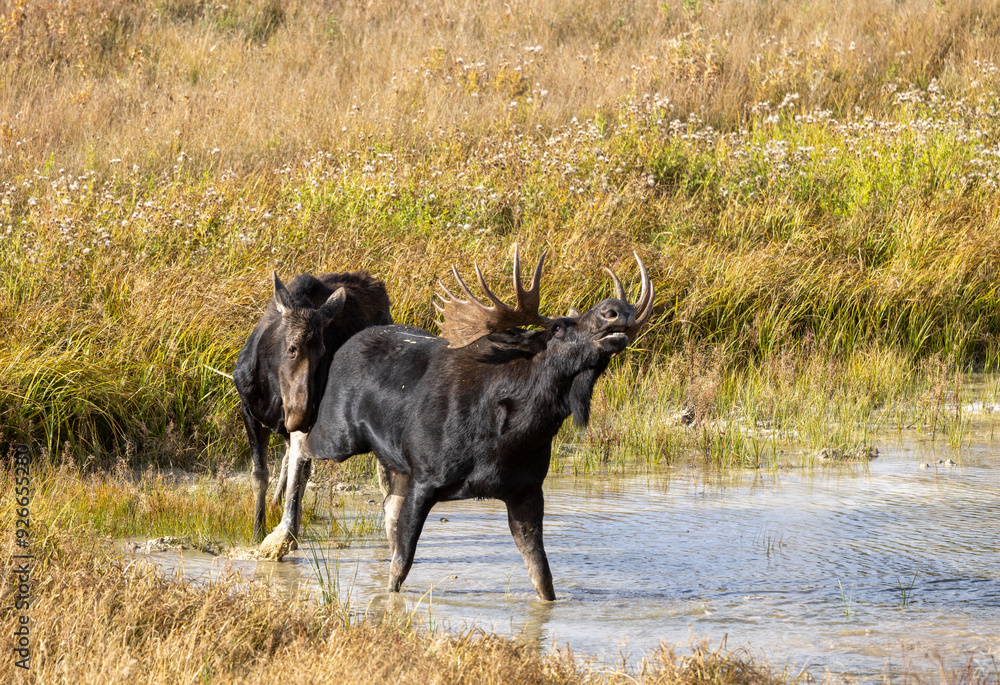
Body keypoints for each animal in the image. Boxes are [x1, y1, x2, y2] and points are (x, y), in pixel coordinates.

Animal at [232, 270, 392, 544]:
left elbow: (299, 475)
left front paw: (285, 533)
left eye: (322, 353)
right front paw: (257, 532)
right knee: (287, 460)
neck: (273, 391)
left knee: (384, 475)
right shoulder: (249, 411)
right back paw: (275, 504)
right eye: (292, 348)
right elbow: (259, 476)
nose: (301, 414)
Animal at [258, 247, 652, 600]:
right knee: (298, 438)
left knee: (387, 503)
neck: (514, 435)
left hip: (392, 461)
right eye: (558, 327)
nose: (615, 310)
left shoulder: (526, 492)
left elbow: (543, 578)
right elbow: (401, 567)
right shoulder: (425, 480)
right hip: (339, 435)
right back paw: (279, 534)